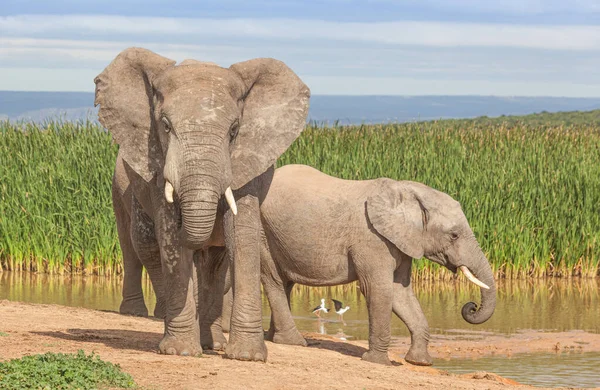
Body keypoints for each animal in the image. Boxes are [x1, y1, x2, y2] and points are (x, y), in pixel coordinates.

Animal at [95, 47, 310, 362]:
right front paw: (180, 351)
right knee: (140, 244)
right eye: (165, 126)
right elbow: (170, 238)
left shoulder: (248, 162)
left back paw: (214, 344)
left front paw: (247, 356)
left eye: (234, 130)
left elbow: (241, 236)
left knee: (215, 264)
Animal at [258, 165, 496, 366]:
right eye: (454, 235)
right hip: (262, 230)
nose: (471, 306)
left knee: (285, 282)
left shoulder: (401, 242)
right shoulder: (372, 239)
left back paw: (272, 338)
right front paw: (379, 362)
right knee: (275, 280)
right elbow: (378, 290)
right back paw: (293, 342)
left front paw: (419, 362)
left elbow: (400, 292)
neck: (406, 192)